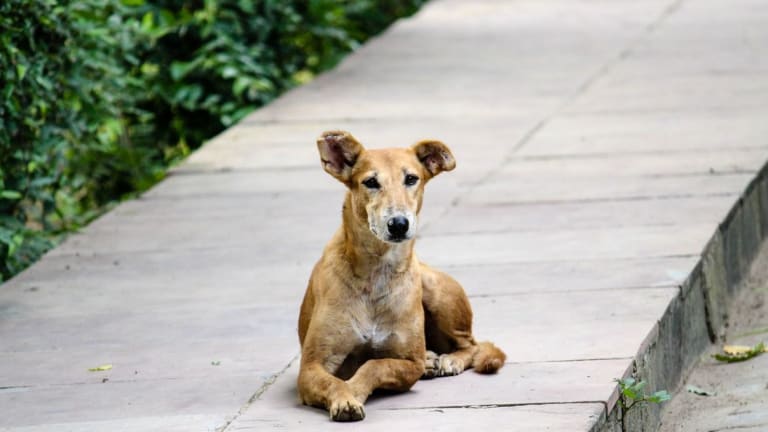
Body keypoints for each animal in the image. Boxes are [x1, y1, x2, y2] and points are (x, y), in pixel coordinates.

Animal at [296, 132, 508, 422]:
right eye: (370, 182)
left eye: (411, 179)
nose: (398, 224)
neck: (377, 271)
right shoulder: (311, 366)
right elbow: (334, 381)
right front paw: (345, 396)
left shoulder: (409, 363)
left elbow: (374, 364)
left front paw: (354, 388)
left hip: (435, 289)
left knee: (471, 344)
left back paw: (449, 359)